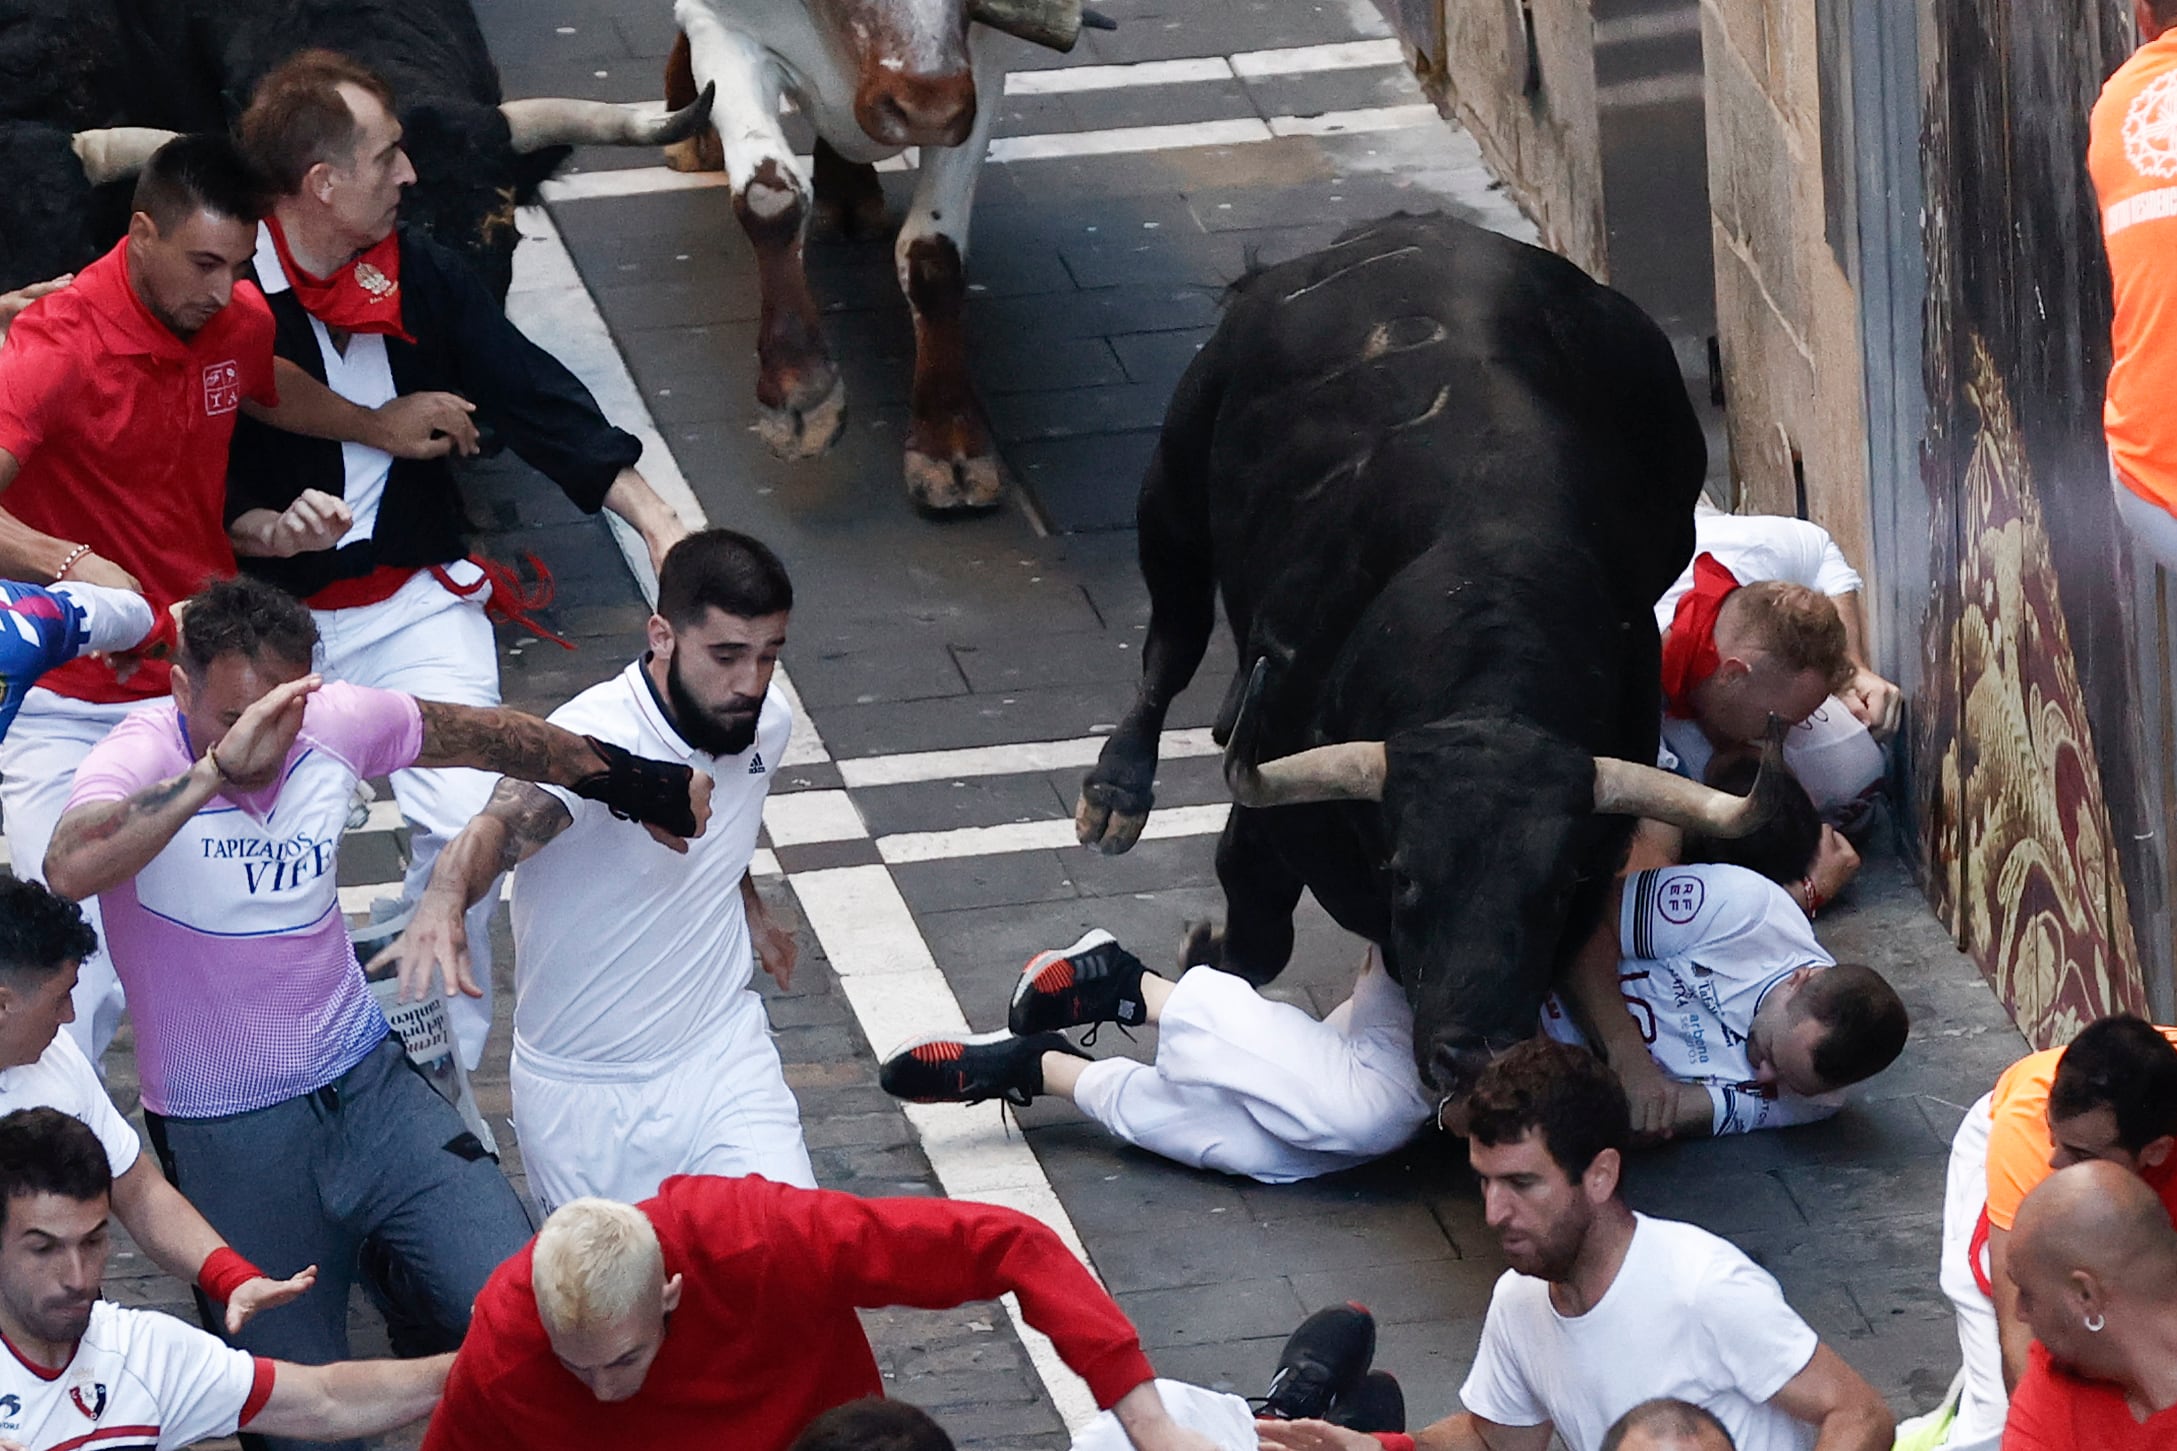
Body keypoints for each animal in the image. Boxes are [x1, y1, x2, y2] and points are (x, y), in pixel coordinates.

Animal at [1079, 213, 1741, 1100]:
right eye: (1405, 876)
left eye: (1552, 891)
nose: (1470, 1054)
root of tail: (1402, 227)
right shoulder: (1274, 813)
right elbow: (1256, 928)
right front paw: (1199, 953)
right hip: (1175, 471)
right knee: (1172, 636)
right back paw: (1115, 790)